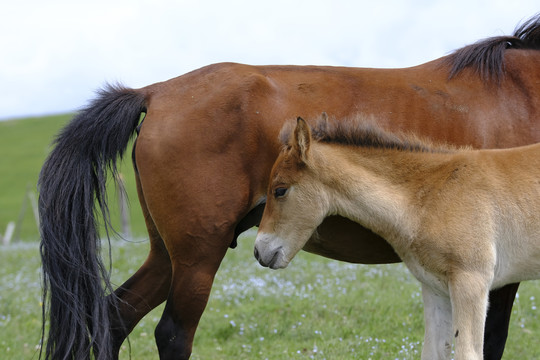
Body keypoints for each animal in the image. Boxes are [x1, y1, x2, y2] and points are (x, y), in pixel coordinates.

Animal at [253, 116, 540, 360]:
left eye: (280, 190)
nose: (258, 251)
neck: (432, 192)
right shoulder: (435, 287)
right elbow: (433, 353)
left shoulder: (471, 281)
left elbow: (468, 353)